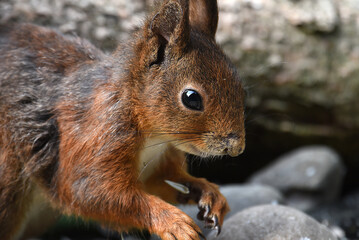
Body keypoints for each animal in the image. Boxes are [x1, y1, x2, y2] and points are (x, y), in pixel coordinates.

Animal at [0, 0, 246, 239]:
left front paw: (210, 194)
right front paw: (174, 223)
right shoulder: (95, 141)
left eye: (240, 87)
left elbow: (166, 182)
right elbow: (93, 192)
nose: (236, 148)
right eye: (191, 98)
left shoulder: (155, 167)